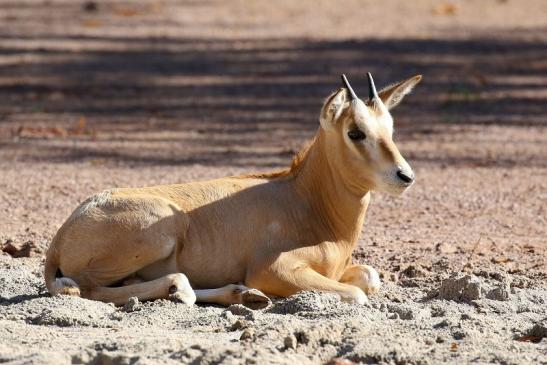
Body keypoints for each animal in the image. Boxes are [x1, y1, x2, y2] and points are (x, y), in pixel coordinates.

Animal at [45, 73, 422, 308]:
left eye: (389, 127)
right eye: (355, 132)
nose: (405, 176)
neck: (306, 200)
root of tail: (62, 237)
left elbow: (370, 277)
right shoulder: (273, 269)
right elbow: (358, 294)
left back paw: (241, 295)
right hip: (161, 230)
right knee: (88, 288)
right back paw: (180, 289)